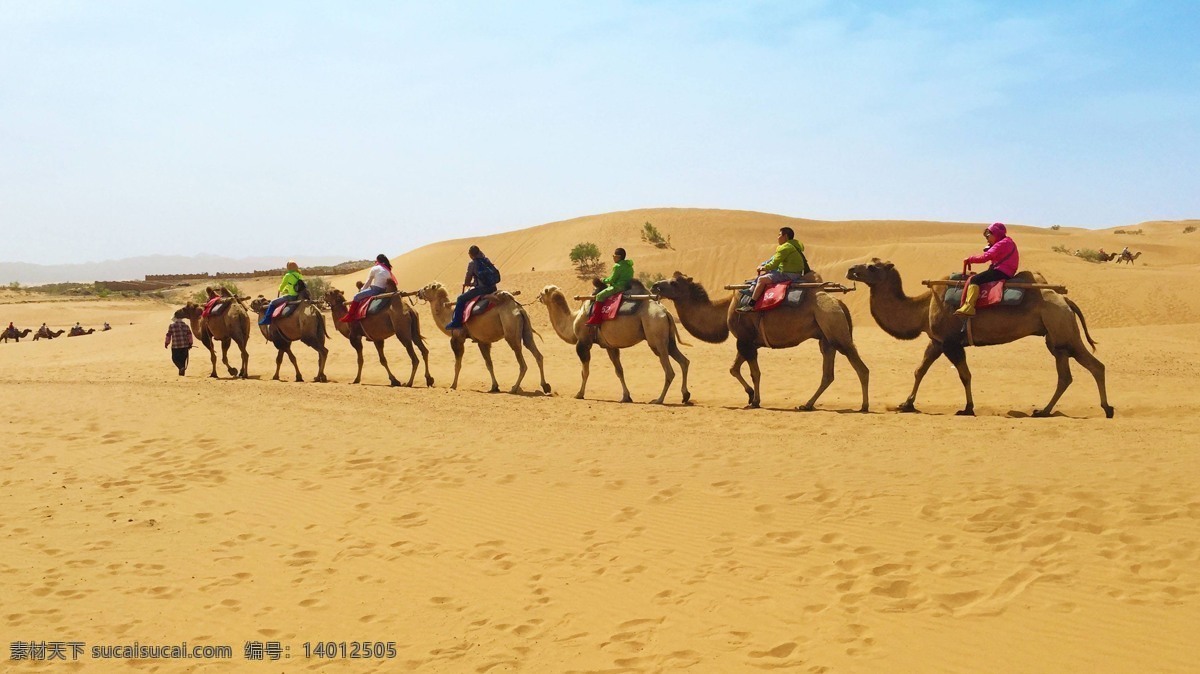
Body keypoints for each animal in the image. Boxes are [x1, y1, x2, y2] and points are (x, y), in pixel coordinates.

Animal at [410, 281, 547, 393]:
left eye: (427, 287)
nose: (418, 292)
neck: (449, 316)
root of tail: (519, 309)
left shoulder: (457, 338)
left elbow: (457, 364)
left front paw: (453, 385)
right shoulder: (482, 341)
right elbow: (489, 364)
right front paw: (494, 386)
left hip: (511, 332)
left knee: (522, 362)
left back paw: (514, 388)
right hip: (526, 330)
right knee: (537, 354)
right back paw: (545, 386)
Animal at [540, 280, 691, 400]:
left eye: (542, 292)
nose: (538, 297)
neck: (572, 320)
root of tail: (666, 312)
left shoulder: (583, 343)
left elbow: (585, 372)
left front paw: (579, 394)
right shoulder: (610, 346)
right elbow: (619, 371)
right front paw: (626, 397)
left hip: (656, 336)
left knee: (669, 370)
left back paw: (659, 399)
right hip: (668, 339)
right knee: (684, 361)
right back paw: (685, 395)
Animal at [652, 268, 868, 410]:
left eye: (674, 283)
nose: (655, 286)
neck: (725, 309)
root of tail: (839, 302)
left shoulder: (744, 340)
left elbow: (754, 373)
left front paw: (755, 401)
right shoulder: (747, 341)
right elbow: (734, 369)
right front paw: (750, 396)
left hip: (834, 326)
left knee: (860, 367)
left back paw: (864, 406)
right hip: (826, 338)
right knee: (828, 374)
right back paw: (807, 404)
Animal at [844, 256, 1113, 414]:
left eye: (872, 267)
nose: (850, 269)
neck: (922, 307)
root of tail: (1065, 300)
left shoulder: (951, 343)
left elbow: (965, 375)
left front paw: (968, 408)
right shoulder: (936, 341)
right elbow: (920, 370)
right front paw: (906, 404)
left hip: (1062, 329)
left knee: (1093, 366)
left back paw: (1104, 408)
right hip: (1056, 337)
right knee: (1069, 374)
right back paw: (1047, 410)